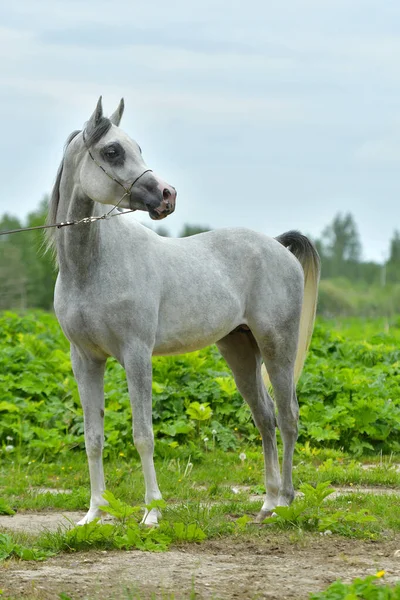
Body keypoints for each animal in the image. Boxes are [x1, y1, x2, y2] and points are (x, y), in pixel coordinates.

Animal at [47, 97, 320, 524]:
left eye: (137, 146)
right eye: (113, 150)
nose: (167, 195)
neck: (92, 266)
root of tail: (278, 246)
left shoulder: (136, 356)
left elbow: (143, 435)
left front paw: (152, 513)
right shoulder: (85, 359)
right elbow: (93, 437)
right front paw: (94, 513)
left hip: (278, 346)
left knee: (288, 416)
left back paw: (286, 502)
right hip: (240, 351)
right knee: (265, 418)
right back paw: (268, 502)